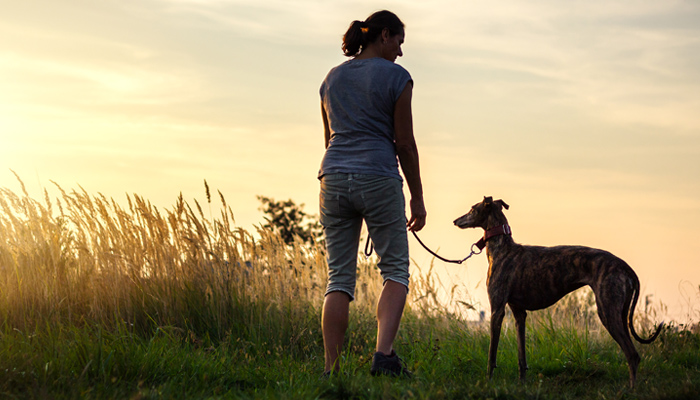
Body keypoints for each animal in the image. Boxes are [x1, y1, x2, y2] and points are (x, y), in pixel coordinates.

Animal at [454, 197, 660, 388]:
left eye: (472, 209)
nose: (455, 221)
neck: (502, 248)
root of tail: (625, 266)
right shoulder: (519, 313)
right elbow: (522, 358)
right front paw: (522, 385)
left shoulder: (497, 310)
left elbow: (491, 355)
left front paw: (487, 383)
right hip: (620, 312)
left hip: (607, 311)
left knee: (632, 355)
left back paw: (631, 390)